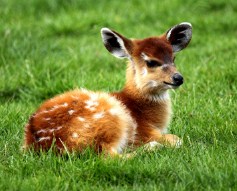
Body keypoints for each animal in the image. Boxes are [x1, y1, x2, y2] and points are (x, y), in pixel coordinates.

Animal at [23, 22, 193, 157]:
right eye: (151, 62)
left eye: (173, 58)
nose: (178, 78)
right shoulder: (144, 132)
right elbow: (177, 139)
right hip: (111, 120)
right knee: (109, 156)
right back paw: (151, 147)